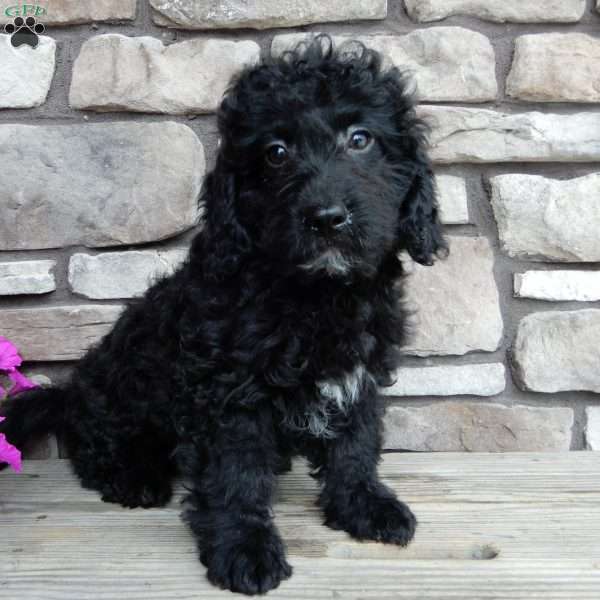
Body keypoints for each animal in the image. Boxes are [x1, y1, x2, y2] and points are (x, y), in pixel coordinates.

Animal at [2, 37, 446, 596]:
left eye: (360, 139)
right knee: (94, 445)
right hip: (117, 394)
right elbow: (237, 474)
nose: (325, 219)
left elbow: (356, 444)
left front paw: (364, 505)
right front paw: (245, 548)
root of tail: (71, 394)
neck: (316, 295)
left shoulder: (358, 375)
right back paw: (133, 476)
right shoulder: (229, 391)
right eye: (276, 152)